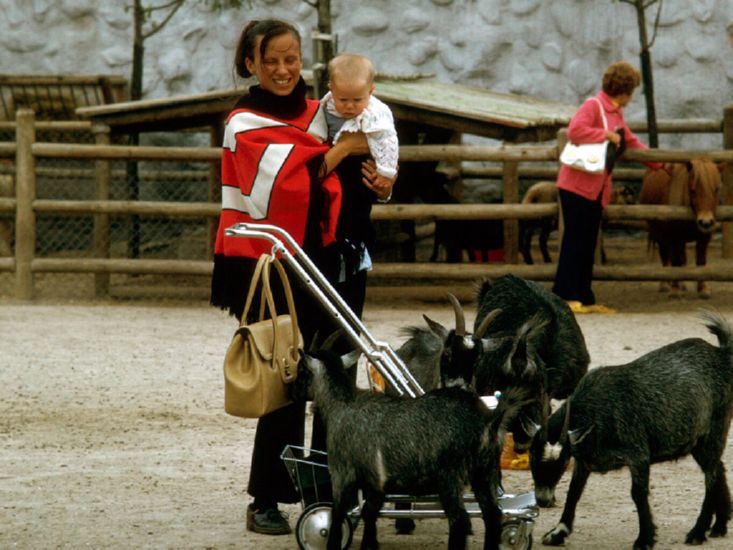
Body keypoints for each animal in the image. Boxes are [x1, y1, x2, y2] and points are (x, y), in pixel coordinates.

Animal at [304, 350, 532, 550]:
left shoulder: (341, 473)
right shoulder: (376, 482)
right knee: (492, 514)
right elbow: (369, 513)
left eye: (301, 370)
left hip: (450, 477)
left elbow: (337, 515)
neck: (342, 404)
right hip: (484, 472)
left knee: (459, 520)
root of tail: (489, 420)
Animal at [528, 312, 728, 548]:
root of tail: (721, 354)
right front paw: (558, 532)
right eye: (531, 458)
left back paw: (698, 532)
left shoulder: (638, 455)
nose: (542, 500)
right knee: (719, 469)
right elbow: (574, 491)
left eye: (560, 463)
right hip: (699, 442)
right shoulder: (583, 460)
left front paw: (645, 538)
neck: (597, 410)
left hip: (714, 431)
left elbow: (638, 494)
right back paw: (719, 526)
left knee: (711, 477)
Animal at [636, 160, 724, 298]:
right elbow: (676, 261)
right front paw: (675, 290)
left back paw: (682, 284)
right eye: (692, 190)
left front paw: (702, 289)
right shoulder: (674, 238)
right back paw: (665, 284)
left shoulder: (704, 238)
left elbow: (700, 261)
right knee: (665, 256)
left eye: (716, 190)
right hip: (660, 236)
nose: (705, 222)